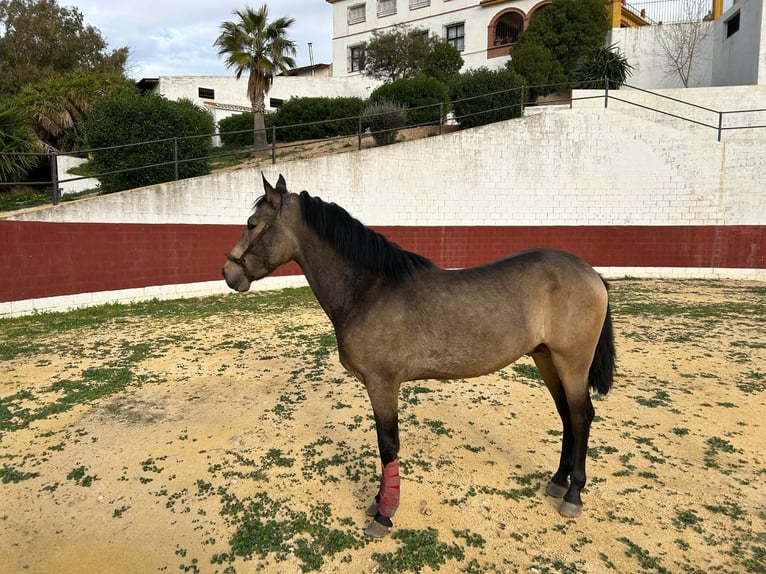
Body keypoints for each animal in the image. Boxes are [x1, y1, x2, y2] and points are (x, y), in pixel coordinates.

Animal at [222, 174, 616, 540]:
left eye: (252, 224)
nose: (228, 272)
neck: (369, 291)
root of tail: (591, 273)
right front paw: (378, 502)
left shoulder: (382, 385)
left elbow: (388, 446)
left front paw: (384, 513)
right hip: (546, 359)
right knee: (567, 417)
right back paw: (558, 481)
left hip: (572, 363)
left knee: (581, 416)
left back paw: (573, 495)